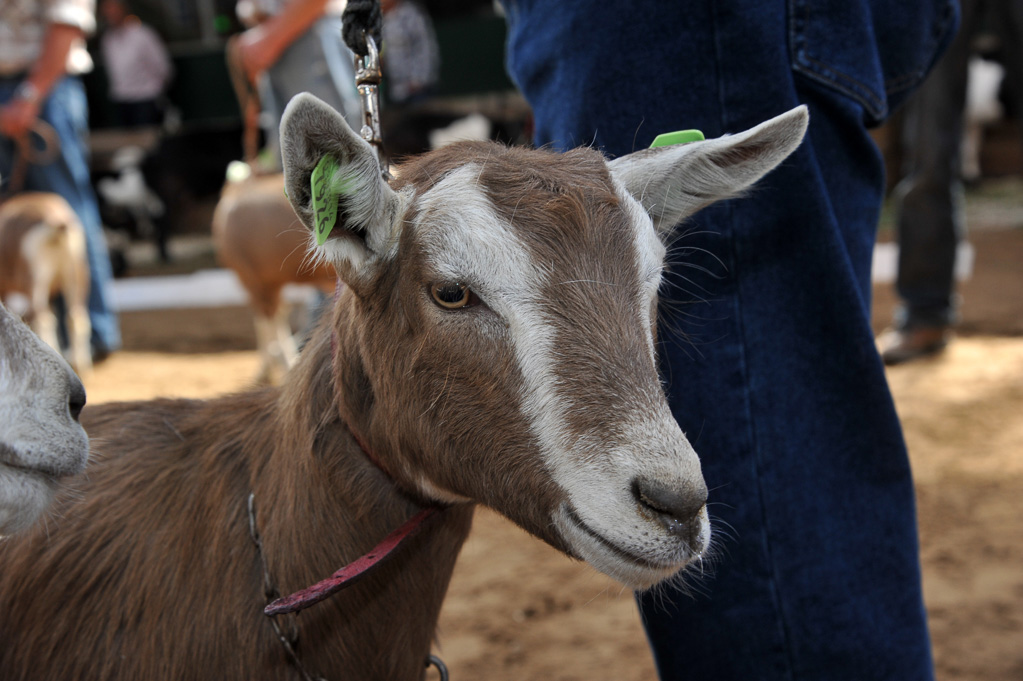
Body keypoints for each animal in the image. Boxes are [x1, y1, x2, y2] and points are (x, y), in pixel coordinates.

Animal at [0, 191, 92, 372]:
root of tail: (54, 221)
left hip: (35, 279)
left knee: (44, 319)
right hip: (76, 272)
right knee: (76, 317)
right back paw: (80, 363)